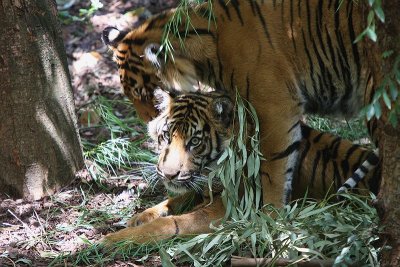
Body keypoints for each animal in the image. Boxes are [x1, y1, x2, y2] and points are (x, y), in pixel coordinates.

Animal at [101, 90, 380, 245]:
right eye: (166, 136)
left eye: (194, 142)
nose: (168, 174)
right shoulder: (206, 187)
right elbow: (173, 200)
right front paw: (139, 217)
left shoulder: (227, 209)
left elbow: (173, 222)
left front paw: (111, 241)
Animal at [102, 0, 378, 224]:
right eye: (129, 95)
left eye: (144, 93)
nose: (150, 128)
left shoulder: (275, 108)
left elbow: (273, 168)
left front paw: (269, 217)